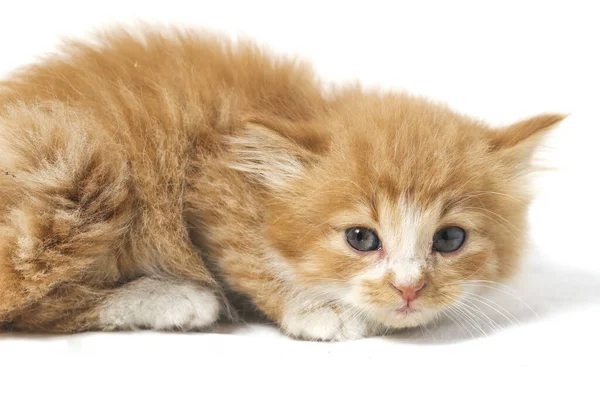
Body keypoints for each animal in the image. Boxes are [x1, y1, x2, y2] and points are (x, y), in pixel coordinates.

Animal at [0, 27, 564, 340]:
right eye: (361, 238)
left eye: (449, 239)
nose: (409, 289)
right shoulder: (208, 186)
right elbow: (249, 259)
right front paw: (316, 310)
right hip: (78, 168)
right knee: (37, 307)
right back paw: (172, 298)